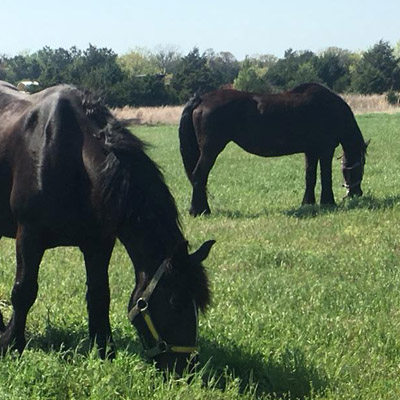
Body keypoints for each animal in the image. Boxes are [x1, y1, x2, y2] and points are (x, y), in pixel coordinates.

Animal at [0, 81, 216, 376]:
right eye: (175, 302)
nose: (186, 370)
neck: (71, 156)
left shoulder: (98, 243)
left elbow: (99, 295)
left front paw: (104, 350)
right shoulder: (29, 236)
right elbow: (23, 291)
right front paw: (12, 344)